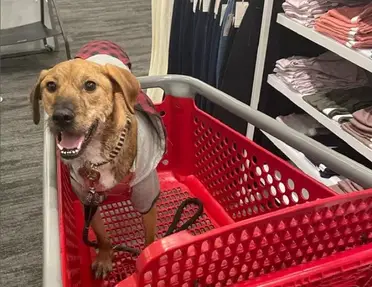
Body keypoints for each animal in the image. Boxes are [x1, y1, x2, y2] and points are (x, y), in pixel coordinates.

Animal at [30, 40, 166, 280]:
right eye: (51, 86)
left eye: (90, 85)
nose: (61, 116)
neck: (96, 158)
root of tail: (100, 42)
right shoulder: (88, 199)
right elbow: (102, 236)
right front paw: (104, 257)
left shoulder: (146, 197)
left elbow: (149, 239)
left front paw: (149, 261)